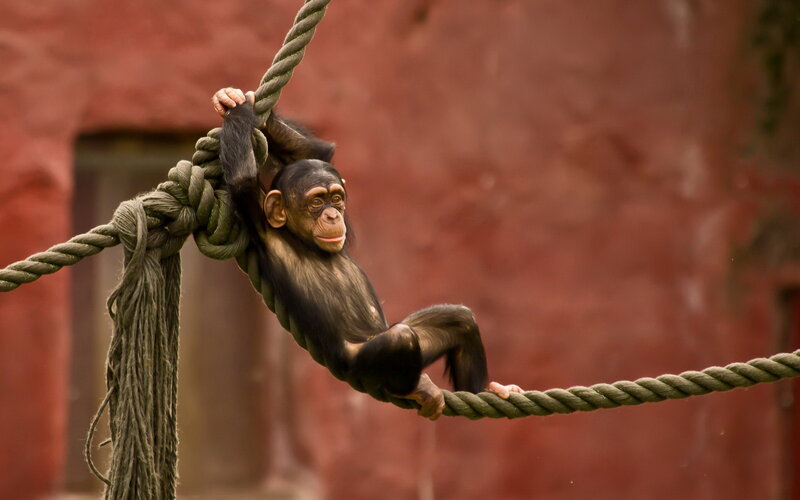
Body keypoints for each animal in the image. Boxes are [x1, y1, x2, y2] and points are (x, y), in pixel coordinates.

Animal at [213, 87, 522, 419]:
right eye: (316, 202)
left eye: (336, 198)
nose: (332, 215)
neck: (303, 241)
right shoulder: (260, 221)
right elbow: (242, 180)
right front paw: (235, 109)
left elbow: (317, 153)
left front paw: (242, 104)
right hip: (362, 366)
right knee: (401, 339)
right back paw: (417, 388)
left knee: (459, 319)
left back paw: (488, 390)